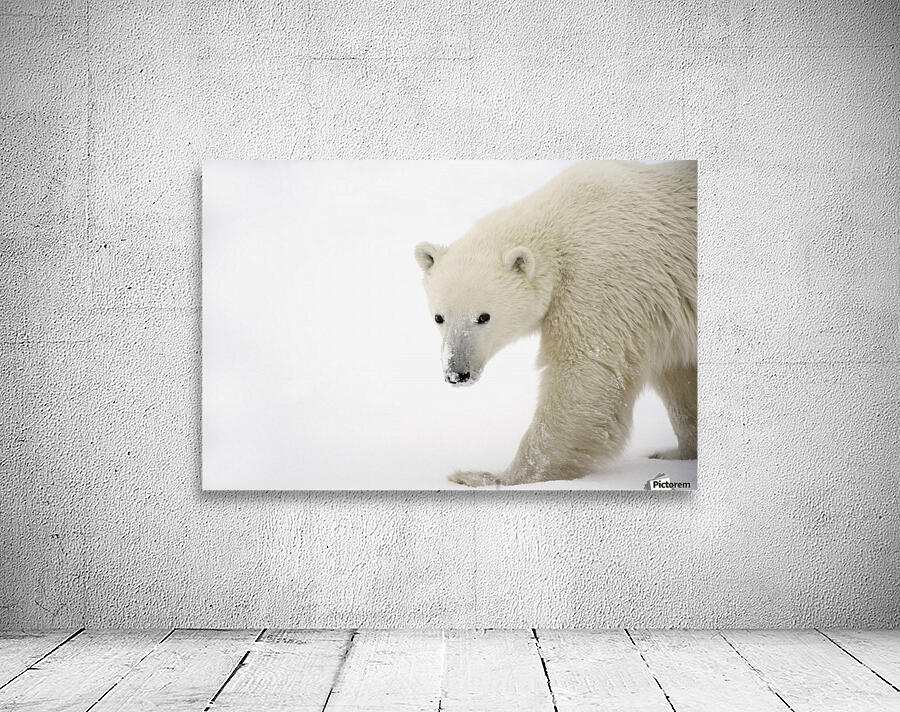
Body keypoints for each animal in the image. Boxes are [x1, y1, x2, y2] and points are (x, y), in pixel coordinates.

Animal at [414, 160, 697, 487]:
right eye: (439, 317)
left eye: (484, 316)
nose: (457, 373)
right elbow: (679, 377)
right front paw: (676, 453)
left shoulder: (601, 282)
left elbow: (583, 373)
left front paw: (491, 477)